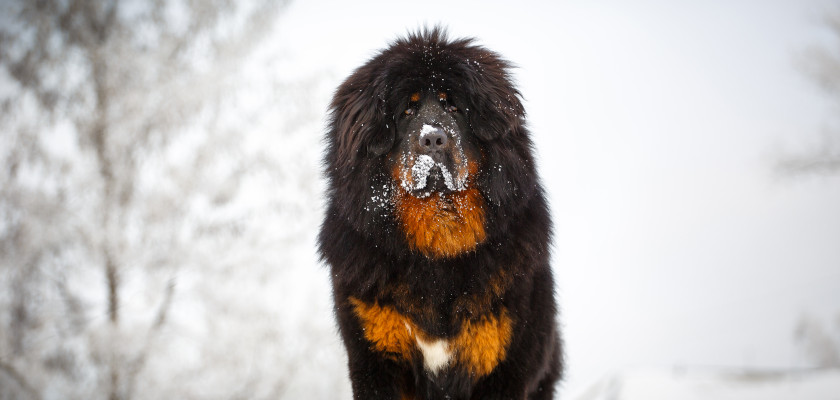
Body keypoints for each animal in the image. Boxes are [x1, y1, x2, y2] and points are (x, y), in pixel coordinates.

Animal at [318, 28, 560, 400]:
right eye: (406, 110)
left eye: (454, 106)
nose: (433, 139)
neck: (438, 250)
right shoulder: (375, 355)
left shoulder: (504, 362)